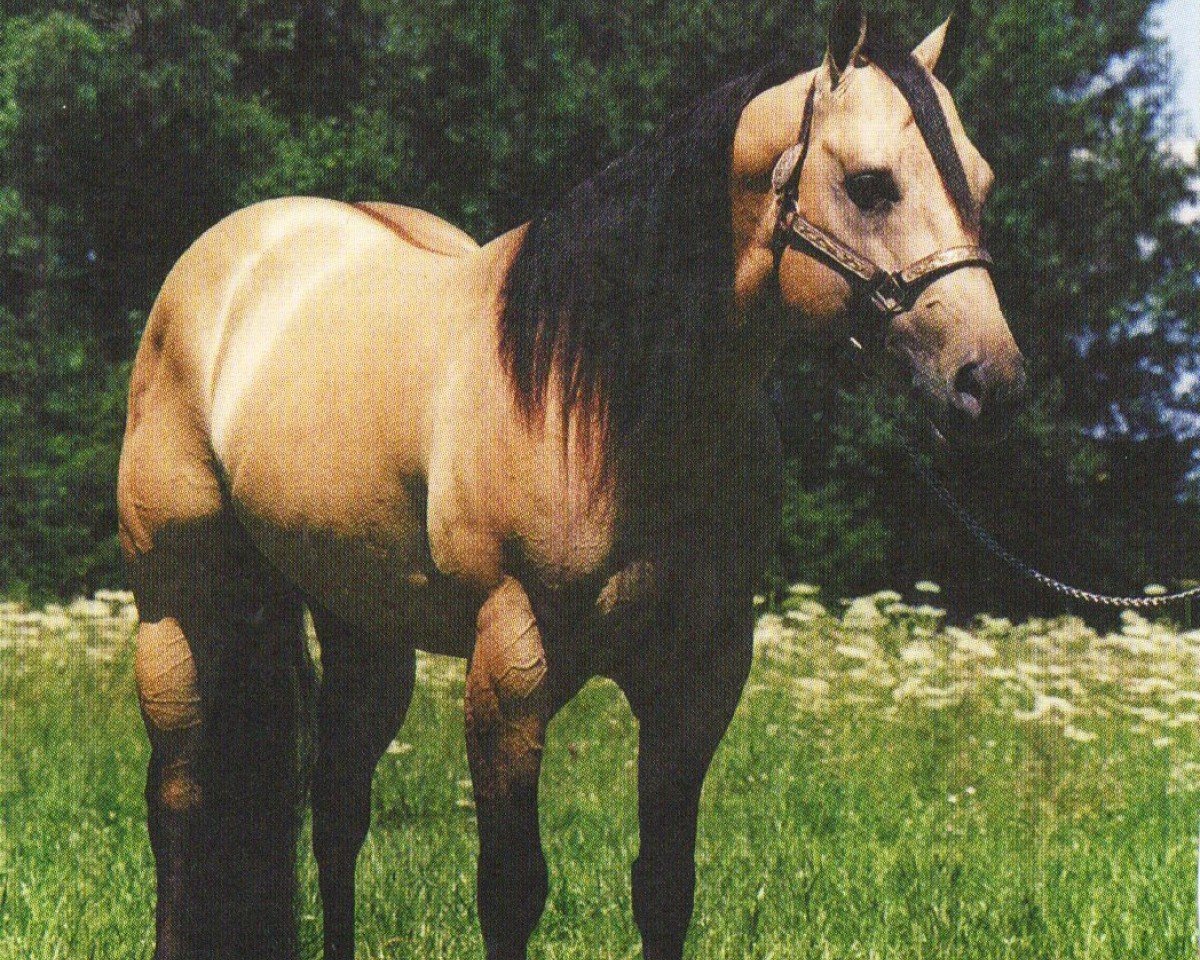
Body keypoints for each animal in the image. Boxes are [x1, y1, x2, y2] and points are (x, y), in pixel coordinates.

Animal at [117, 4, 1026, 958]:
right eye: (870, 184)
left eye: (982, 184)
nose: (991, 383)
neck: (606, 405)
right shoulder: (511, 672)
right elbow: (512, 890)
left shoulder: (697, 678)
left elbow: (664, 887)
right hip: (175, 610)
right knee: (178, 802)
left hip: (362, 625)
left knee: (334, 810)